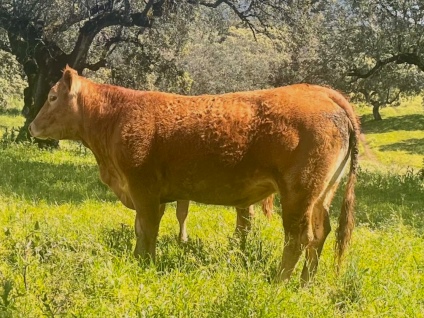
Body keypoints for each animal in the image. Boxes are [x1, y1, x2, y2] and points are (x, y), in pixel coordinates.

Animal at [29, 66, 358, 284]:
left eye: (53, 96)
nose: (32, 126)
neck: (116, 117)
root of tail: (323, 92)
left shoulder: (143, 189)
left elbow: (147, 229)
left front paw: (145, 265)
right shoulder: (155, 194)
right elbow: (141, 229)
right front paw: (138, 259)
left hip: (298, 193)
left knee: (298, 237)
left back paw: (278, 283)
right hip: (321, 194)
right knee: (320, 233)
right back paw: (305, 283)